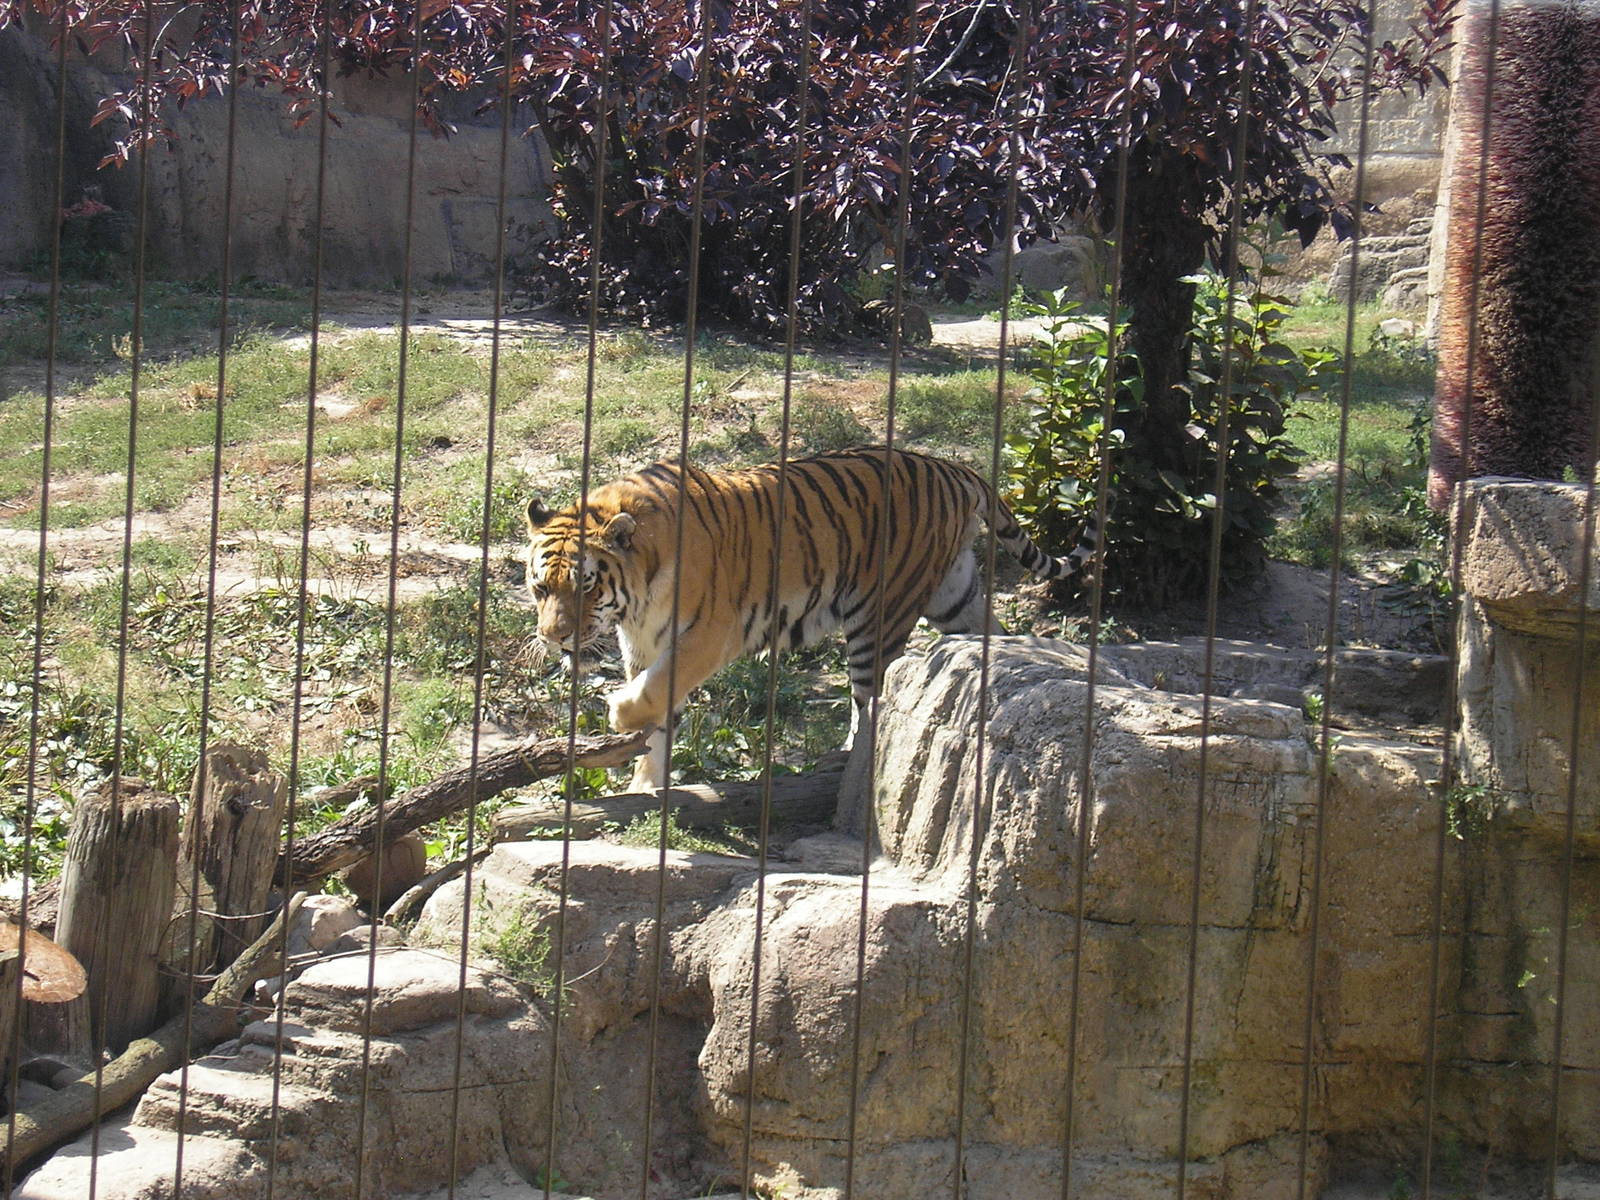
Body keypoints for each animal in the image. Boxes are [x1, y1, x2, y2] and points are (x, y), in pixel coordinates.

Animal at [523, 446, 1098, 792]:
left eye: (586, 585)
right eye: (540, 588)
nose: (553, 637)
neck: (635, 599)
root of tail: (952, 467)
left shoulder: (708, 633)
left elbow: (655, 689)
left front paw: (619, 713)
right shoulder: (642, 643)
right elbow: (660, 714)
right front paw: (646, 784)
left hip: (879, 616)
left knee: (869, 700)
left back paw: (849, 760)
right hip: (952, 597)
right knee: (990, 635)